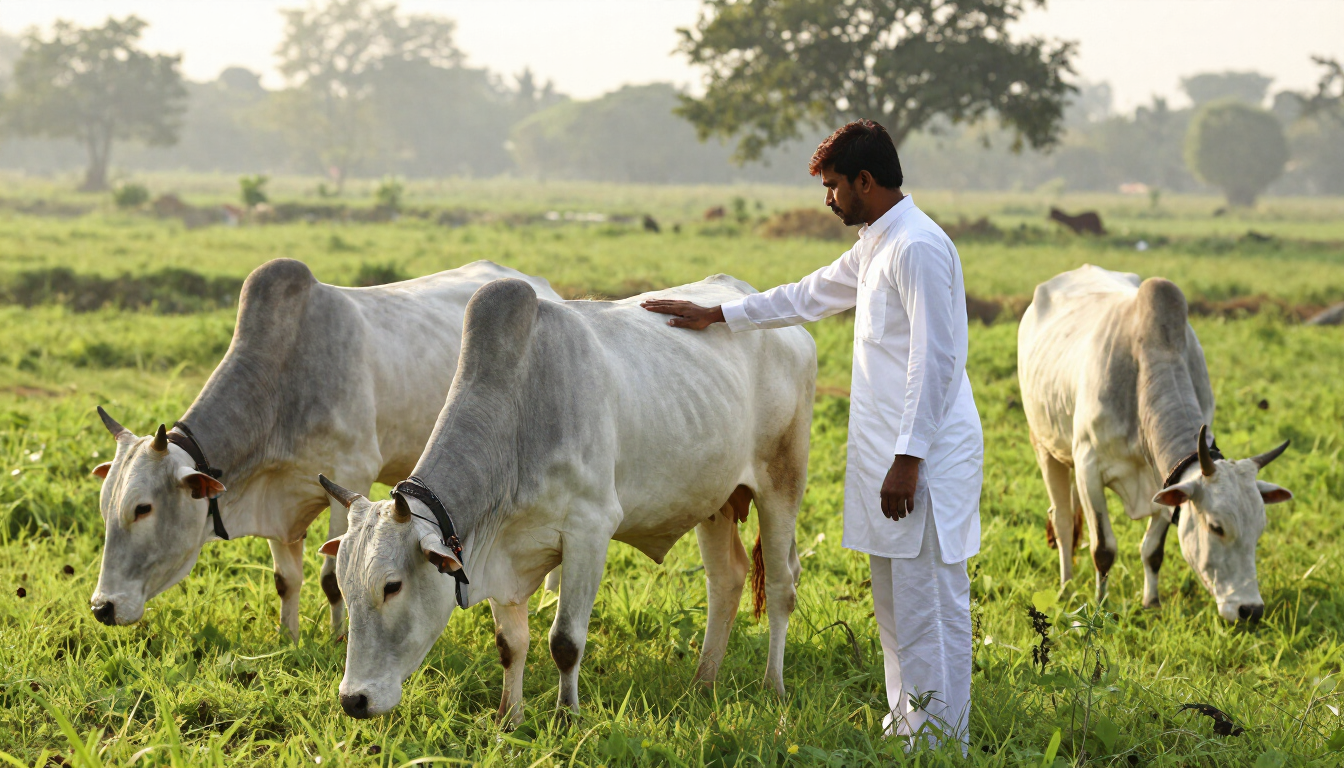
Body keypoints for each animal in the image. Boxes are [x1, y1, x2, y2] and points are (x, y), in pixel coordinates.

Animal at [89, 259, 562, 641]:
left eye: (143, 508)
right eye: (105, 509)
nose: (101, 607)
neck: (282, 381)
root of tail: (546, 288)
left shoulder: (350, 478)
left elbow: (333, 580)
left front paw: (338, 638)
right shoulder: (278, 502)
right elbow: (286, 580)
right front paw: (288, 636)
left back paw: (551, 598)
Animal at [317, 275, 815, 723]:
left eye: (392, 586)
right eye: (343, 584)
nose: (353, 700)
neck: (518, 419)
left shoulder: (589, 532)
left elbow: (565, 641)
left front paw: (566, 716)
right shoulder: (497, 550)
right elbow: (510, 643)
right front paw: (509, 718)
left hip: (782, 484)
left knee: (780, 585)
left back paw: (773, 687)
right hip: (715, 501)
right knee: (725, 581)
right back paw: (703, 682)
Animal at [1018, 265, 1293, 623]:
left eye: (1259, 530)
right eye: (1216, 527)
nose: (1250, 609)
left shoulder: (1167, 482)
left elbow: (1153, 550)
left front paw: (1152, 601)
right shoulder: (1089, 470)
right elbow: (1103, 549)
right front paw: (1100, 604)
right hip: (1045, 447)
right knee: (1063, 522)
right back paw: (1065, 586)